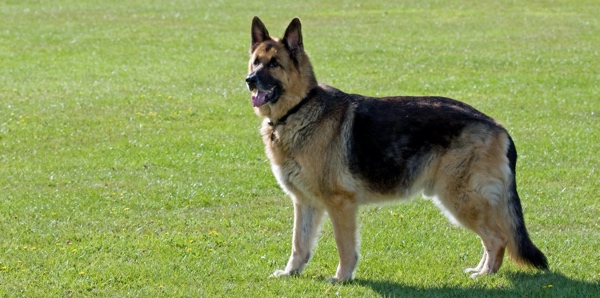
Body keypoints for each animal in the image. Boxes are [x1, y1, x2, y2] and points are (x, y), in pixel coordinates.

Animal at [245, 16, 548, 282]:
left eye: (275, 64)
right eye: (256, 62)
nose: (250, 80)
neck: (299, 109)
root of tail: (498, 126)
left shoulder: (340, 204)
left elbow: (344, 246)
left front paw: (342, 278)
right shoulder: (305, 203)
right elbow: (299, 244)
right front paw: (291, 273)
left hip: (460, 199)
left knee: (498, 237)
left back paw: (486, 275)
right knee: (492, 238)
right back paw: (481, 270)